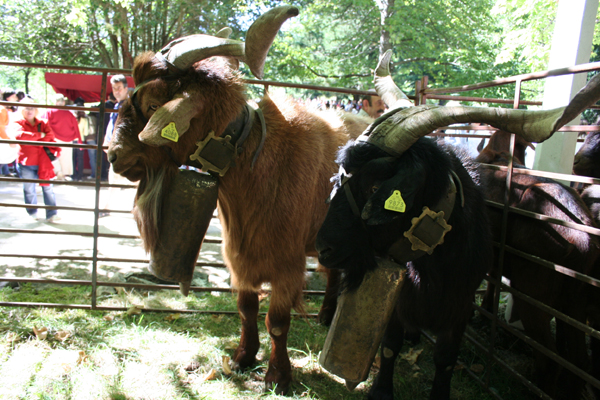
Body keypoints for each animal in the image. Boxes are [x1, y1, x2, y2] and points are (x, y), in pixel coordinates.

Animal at [108, 7, 370, 394]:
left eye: (153, 104)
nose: (113, 155)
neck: (255, 165)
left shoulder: (287, 264)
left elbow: (277, 321)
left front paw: (278, 376)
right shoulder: (239, 257)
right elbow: (246, 309)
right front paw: (242, 358)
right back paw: (324, 315)